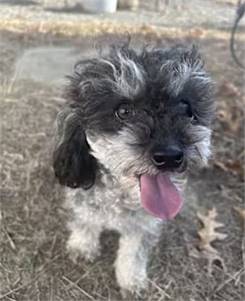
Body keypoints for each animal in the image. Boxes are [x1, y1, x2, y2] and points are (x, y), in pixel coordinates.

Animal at [52, 43, 214, 294]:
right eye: (124, 111)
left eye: (186, 107)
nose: (170, 156)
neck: (120, 197)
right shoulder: (84, 201)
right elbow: (85, 222)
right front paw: (82, 247)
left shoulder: (143, 225)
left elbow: (134, 252)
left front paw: (132, 279)